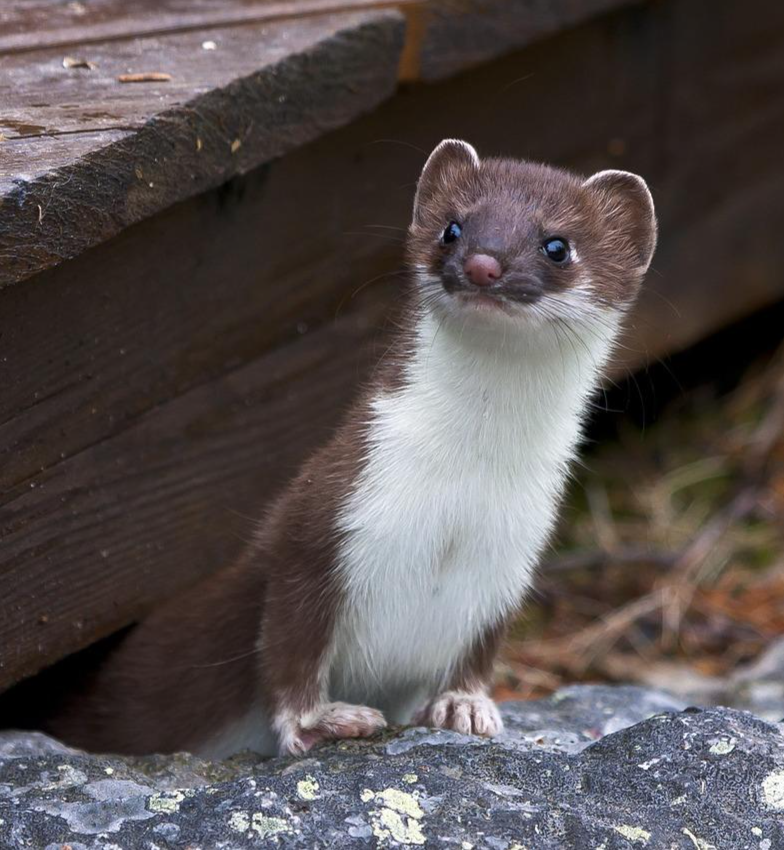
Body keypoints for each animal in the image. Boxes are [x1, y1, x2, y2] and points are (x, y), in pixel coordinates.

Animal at [47, 139, 656, 756]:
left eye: (557, 245)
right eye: (452, 228)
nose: (484, 264)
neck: (461, 494)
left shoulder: (513, 557)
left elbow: (479, 651)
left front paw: (465, 706)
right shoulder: (325, 517)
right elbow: (287, 646)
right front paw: (320, 720)